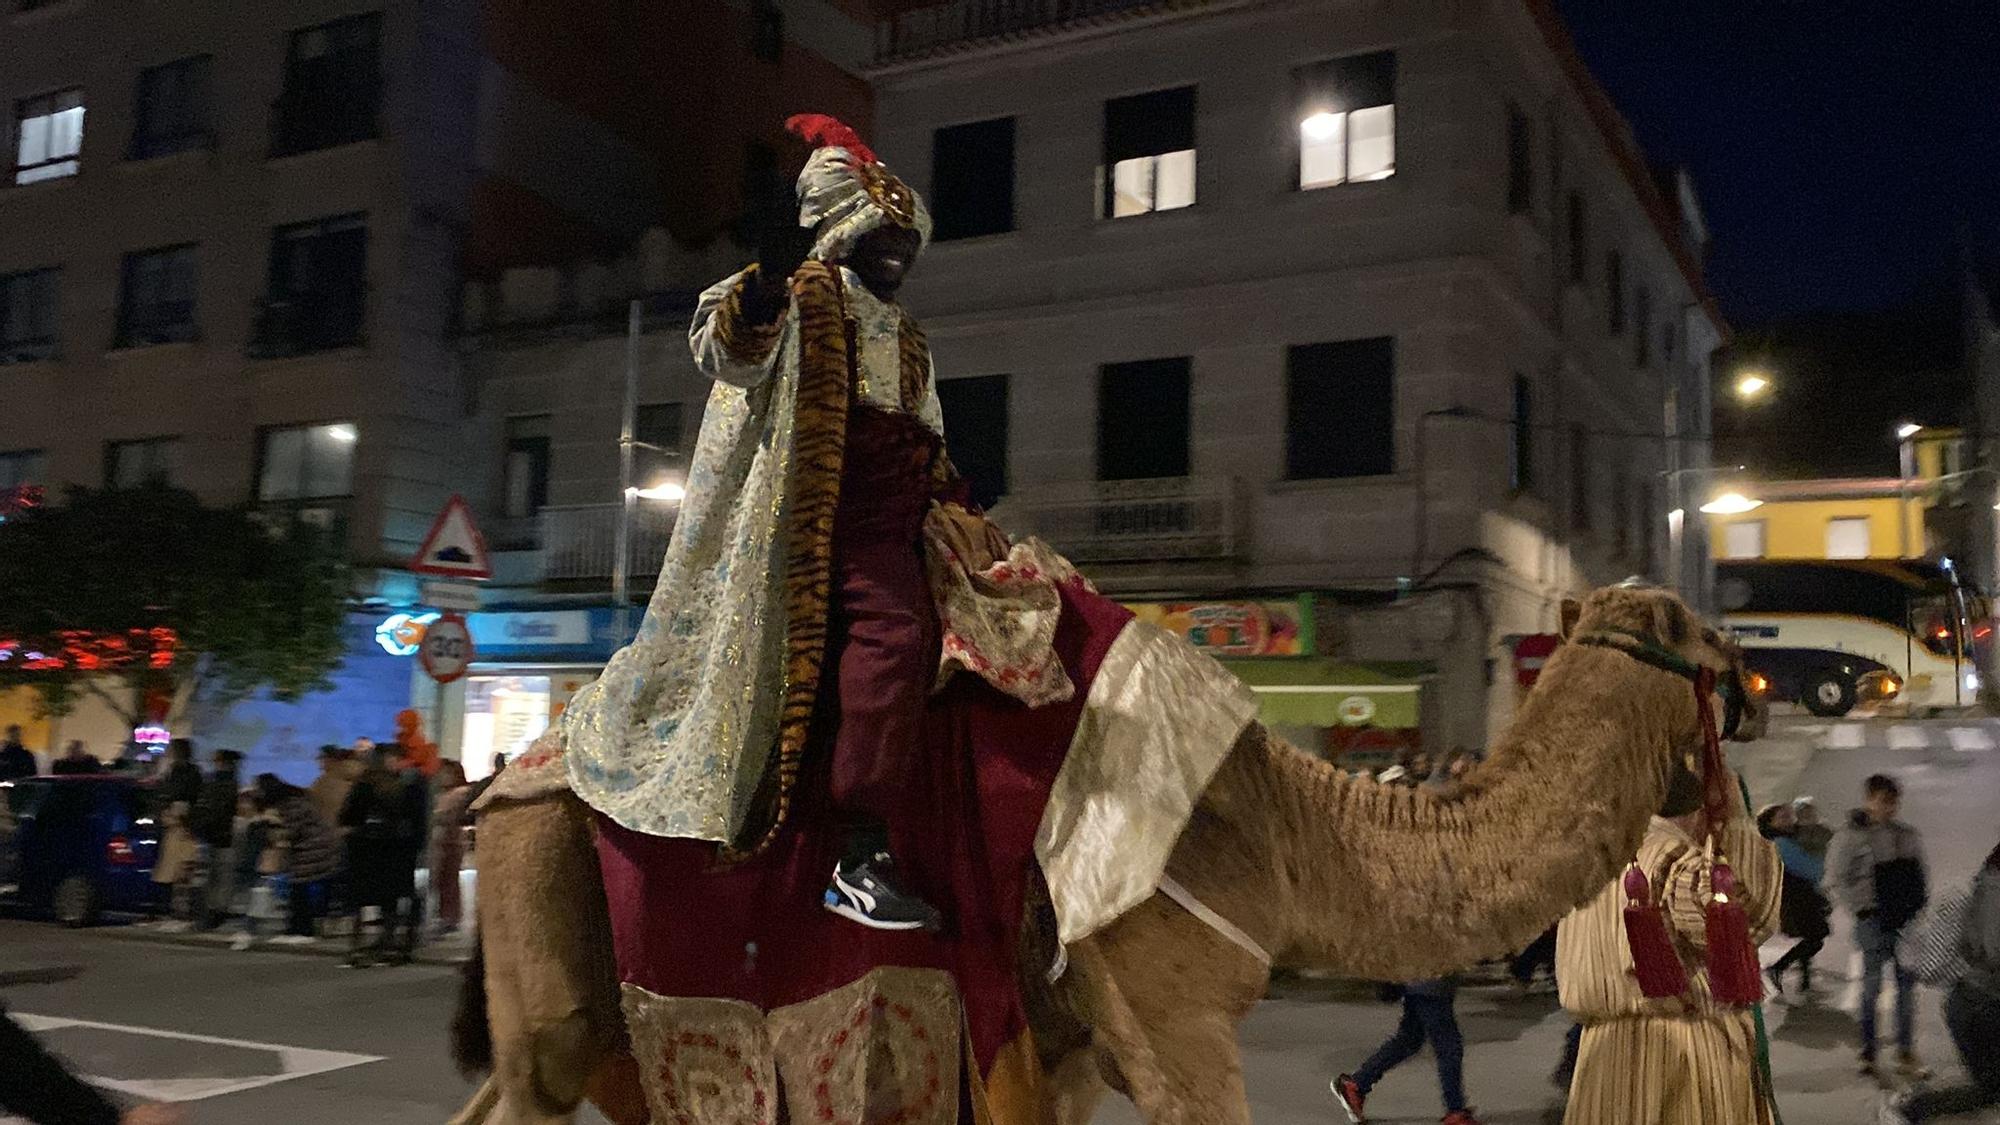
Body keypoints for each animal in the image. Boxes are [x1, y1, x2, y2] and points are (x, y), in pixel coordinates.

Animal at [454, 576, 1768, 1120]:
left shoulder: (1072, 1048)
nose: (1756, 683)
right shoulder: (1169, 1015)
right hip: (555, 927)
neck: (1297, 830)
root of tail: (500, 781)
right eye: (1701, 642)